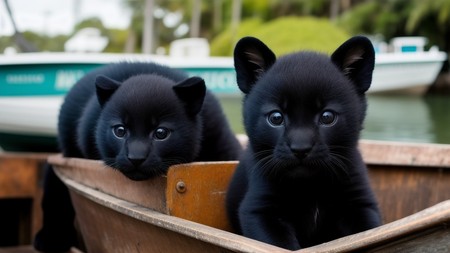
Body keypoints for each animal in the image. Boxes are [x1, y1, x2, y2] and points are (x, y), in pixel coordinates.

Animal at [227, 36, 382, 250]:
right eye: (276, 117)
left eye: (327, 117)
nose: (300, 149)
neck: (310, 187)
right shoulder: (260, 211)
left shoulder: (360, 205)